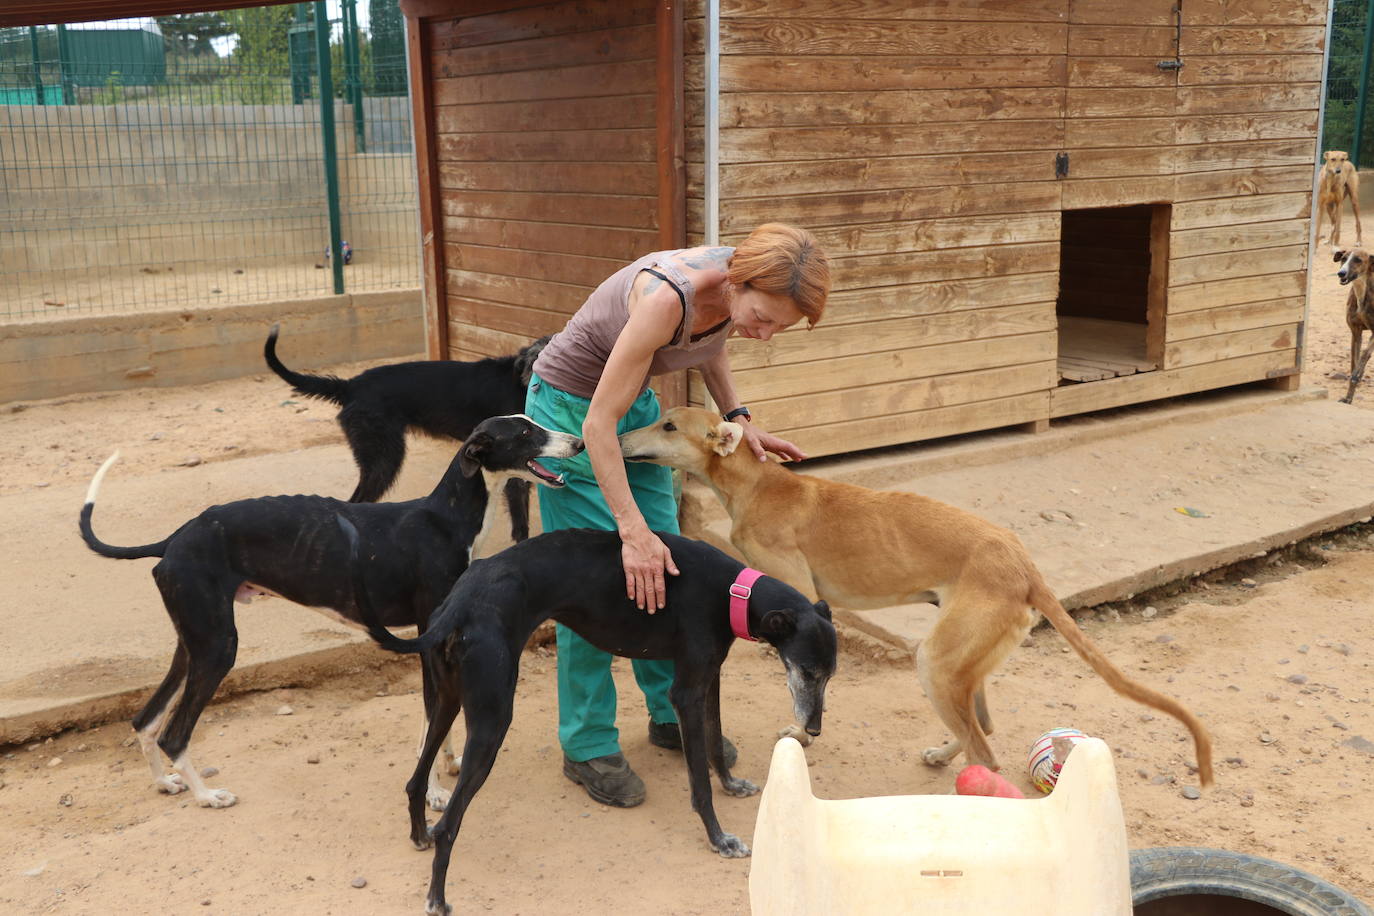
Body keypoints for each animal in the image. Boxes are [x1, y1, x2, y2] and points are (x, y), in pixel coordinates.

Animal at [76, 414, 579, 807]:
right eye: (526, 431)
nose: (577, 442)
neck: (444, 519)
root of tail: (176, 537)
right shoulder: (426, 639)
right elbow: (429, 717)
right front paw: (435, 792)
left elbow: (440, 719)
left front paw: (450, 761)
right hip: (217, 647)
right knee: (173, 732)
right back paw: (207, 796)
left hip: (193, 640)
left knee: (145, 720)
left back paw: (165, 783)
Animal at [346, 527, 835, 911]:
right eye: (807, 671)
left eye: (830, 674)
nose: (812, 729)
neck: (733, 591)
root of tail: (459, 603)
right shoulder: (686, 692)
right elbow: (698, 783)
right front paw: (720, 839)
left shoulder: (707, 679)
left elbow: (714, 745)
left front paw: (732, 785)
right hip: (491, 718)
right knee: (450, 824)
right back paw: (438, 898)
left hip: (446, 701)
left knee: (415, 780)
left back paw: (419, 835)